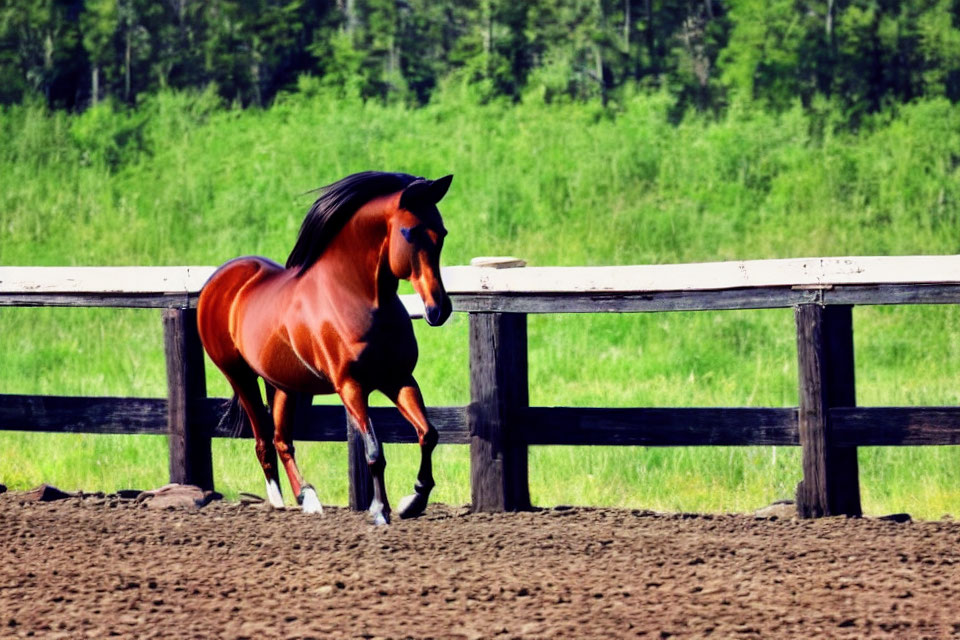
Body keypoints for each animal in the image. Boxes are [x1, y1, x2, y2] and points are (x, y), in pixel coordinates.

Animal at [198, 171, 454, 524]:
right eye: (411, 233)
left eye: (441, 233)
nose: (438, 310)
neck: (360, 297)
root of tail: (219, 279)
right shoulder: (351, 386)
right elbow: (374, 450)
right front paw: (380, 510)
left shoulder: (398, 379)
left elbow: (428, 434)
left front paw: (411, 503)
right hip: (240, 376)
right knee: (263, 440)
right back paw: (279, 500)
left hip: (283, 384)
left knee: (281, 440)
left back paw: (307, 498)